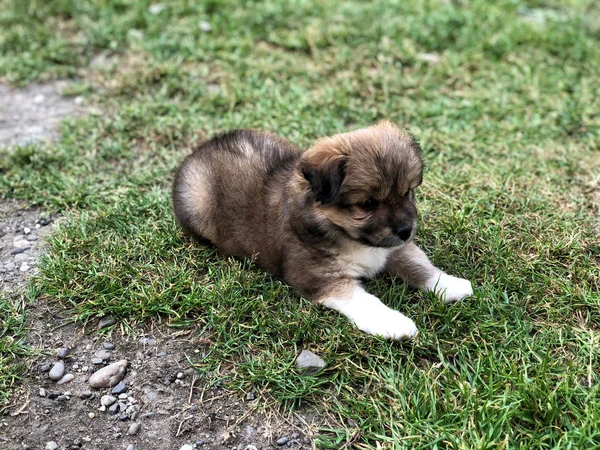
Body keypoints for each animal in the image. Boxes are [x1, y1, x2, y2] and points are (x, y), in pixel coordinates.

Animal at [172, 121, 474, 340]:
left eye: (408, 192)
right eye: (368, 204)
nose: (406, 230)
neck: (347, 235)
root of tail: (200, 150)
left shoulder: (394, 249)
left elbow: (419, 264)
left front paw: (449, 284)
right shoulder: (321, 278)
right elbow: (363, 300)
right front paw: (393, 322)